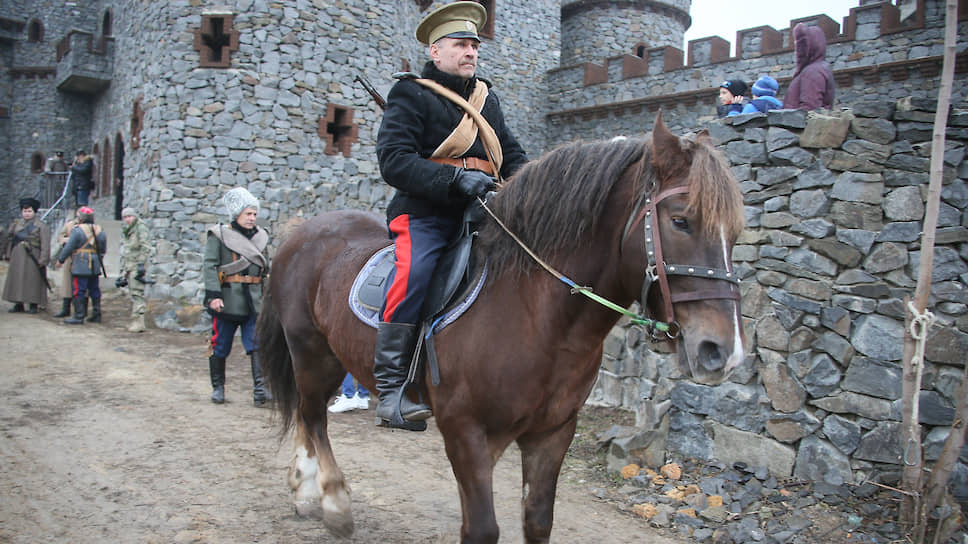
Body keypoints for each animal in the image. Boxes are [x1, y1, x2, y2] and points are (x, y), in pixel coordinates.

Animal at [260, 113, 748, 540]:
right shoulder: (467, 435)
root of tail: (301, 232)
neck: (538, 316)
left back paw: (304, 491)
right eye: (681, 220)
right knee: (313, 416)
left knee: (306, 415)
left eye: (735, 233)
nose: (722, 352)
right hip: (311, 353)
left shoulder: (552, 435)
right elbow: (482, 529)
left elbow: (537, 522)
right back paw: (332, 503)